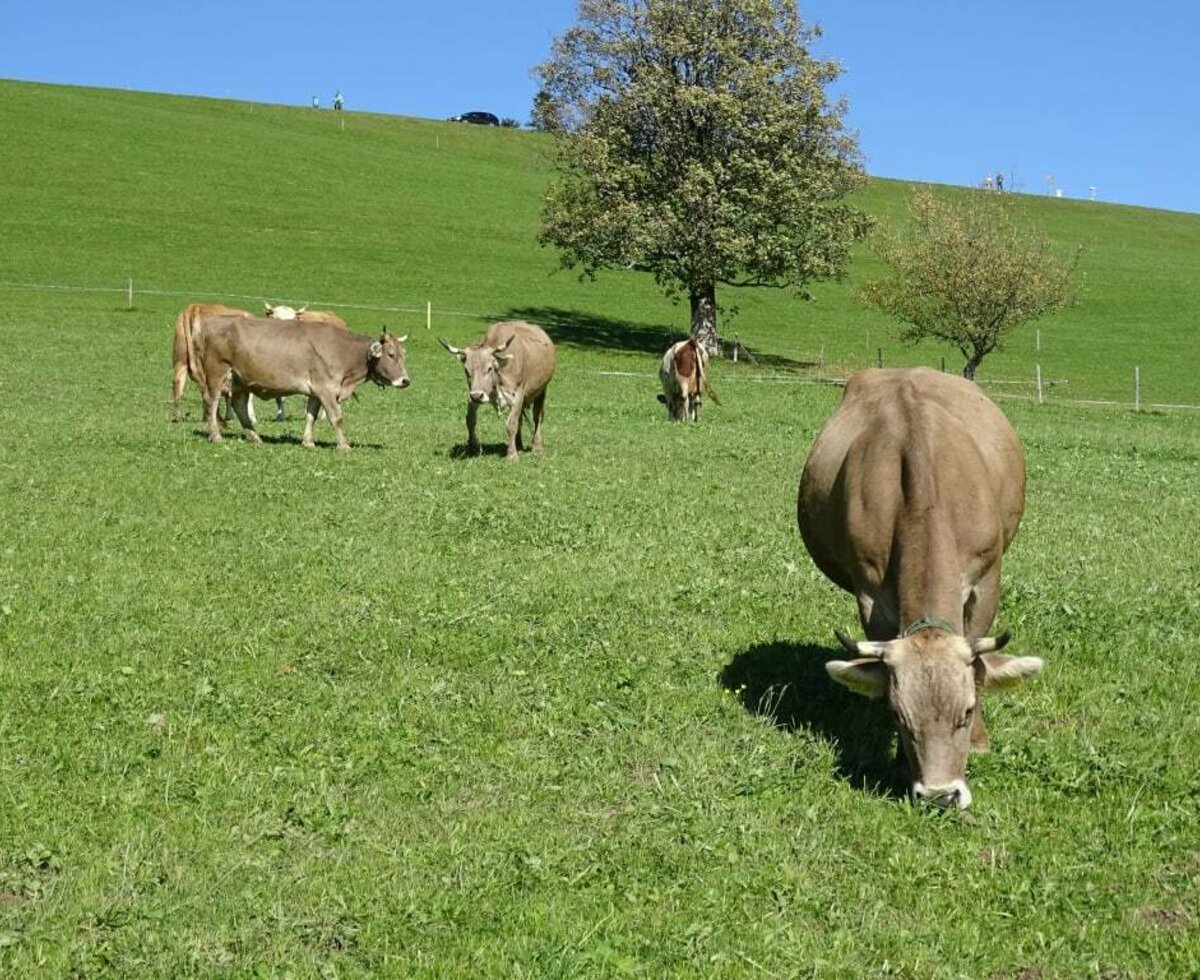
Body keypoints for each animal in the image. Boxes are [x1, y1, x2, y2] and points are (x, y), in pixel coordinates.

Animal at [188, 314, 408, 448]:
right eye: (390, 354)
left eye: (403, 354)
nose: (406, 381)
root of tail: (213, 322)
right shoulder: (326, 389)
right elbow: (336, 417)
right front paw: (344, 445)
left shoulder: (316, 391)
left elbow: (311, 415)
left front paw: (308, 441)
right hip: (217, 373)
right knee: (212, 402)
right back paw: (216, 435)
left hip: (241, 379)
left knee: (239, 404)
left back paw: (254, 436)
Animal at [439, 319, 554, 460]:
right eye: (466, 370)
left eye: (489, 368)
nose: (477, 396)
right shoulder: (474, 394)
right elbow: (470, 420)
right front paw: (472, 446)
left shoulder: (518, 394)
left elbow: (511, 424)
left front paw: (512, 454)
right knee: (521, 420)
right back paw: (519, 445)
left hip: (542, 390)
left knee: (537, 418)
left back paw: (536, 447)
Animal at [796, 369, 1041, 810]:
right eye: (898, 716)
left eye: (967, 711)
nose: (940, 796)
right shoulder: (871, 593)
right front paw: (897, 760)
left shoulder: (986, 579)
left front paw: (980, 741)